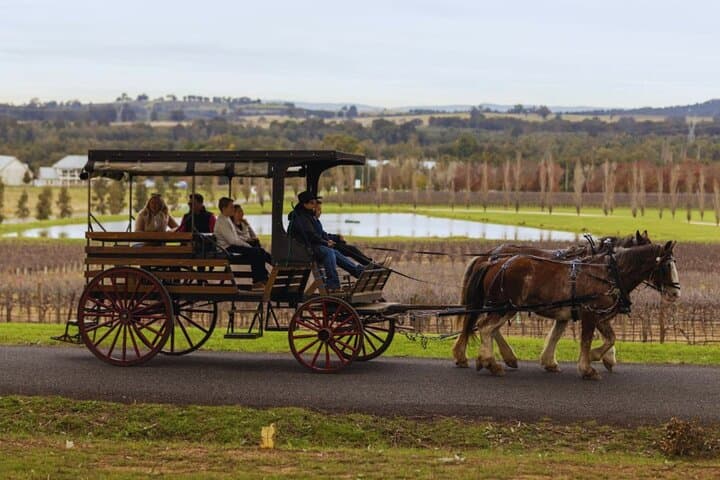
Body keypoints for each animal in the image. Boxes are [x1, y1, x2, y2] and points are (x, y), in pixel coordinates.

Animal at [452, 241, 679, 379]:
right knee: (485, 327)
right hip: (504, 307)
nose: (676, 293)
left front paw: (597, 357)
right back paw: (491, 362)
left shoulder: (595, 315)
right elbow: (586, 340)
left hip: (502, 307)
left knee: (486, 327)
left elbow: (608, 337)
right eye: (666, 266)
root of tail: (494, 261)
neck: (608, 272)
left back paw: (487, 360)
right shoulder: (589, 312)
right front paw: (588, 368)